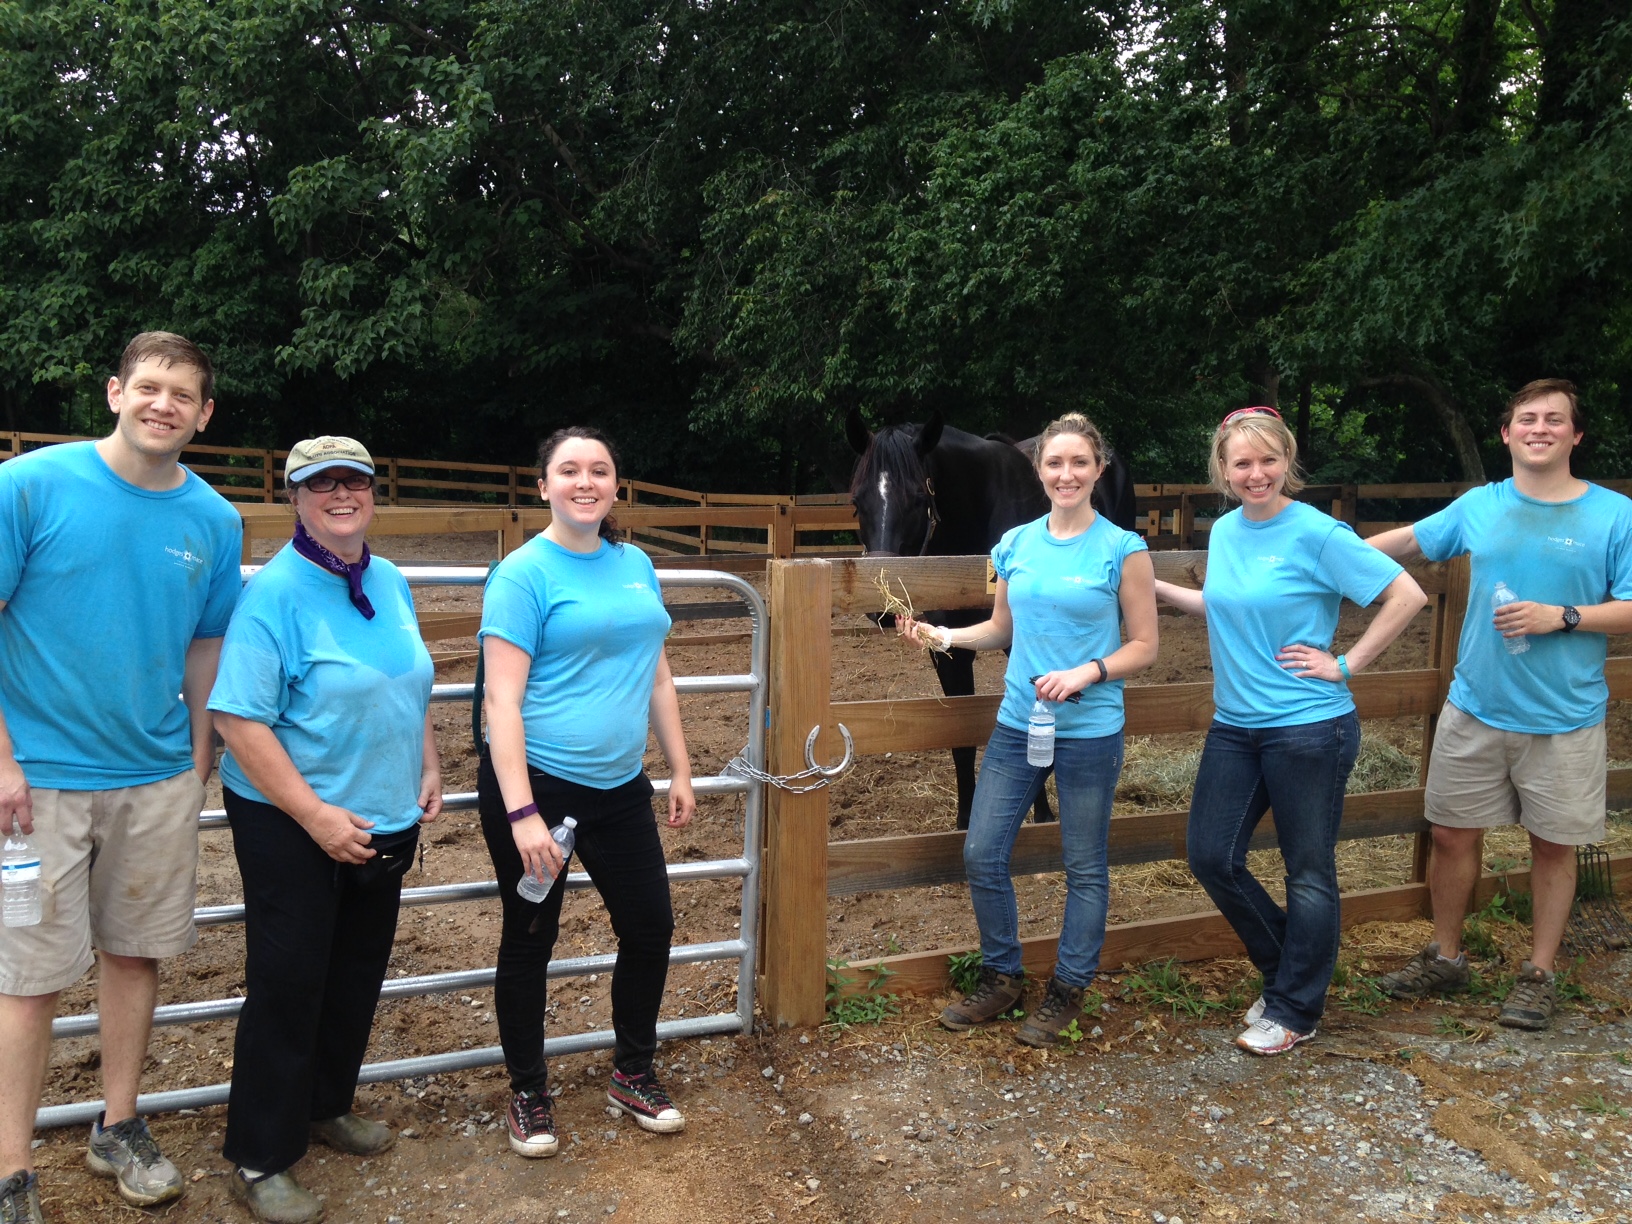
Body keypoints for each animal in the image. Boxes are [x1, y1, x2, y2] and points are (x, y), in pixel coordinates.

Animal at [855, 412, 1135, 835]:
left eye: (918, 499)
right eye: (857, 502)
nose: (882, 611)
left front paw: (1042, 814)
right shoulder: (952, 654)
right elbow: (963, 741)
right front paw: (964, 820)